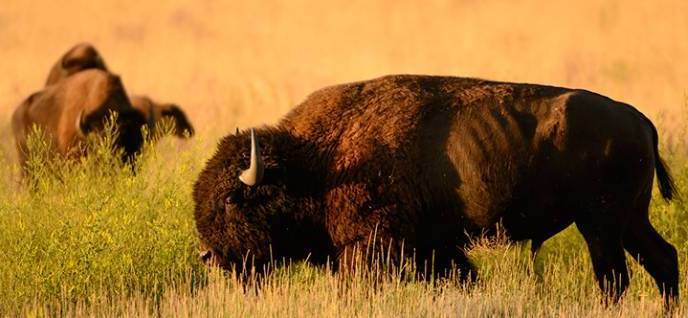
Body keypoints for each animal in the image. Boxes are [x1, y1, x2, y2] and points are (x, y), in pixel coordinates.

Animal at [192, 74, 676, 306]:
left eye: (233, 198)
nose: (208, 255)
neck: (318, 160)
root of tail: (637, 118)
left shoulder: (369, 248)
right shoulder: (437, 250)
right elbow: (461, 278)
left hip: (601, 224)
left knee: (614, 278)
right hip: (629, 221)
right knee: (662, 258)